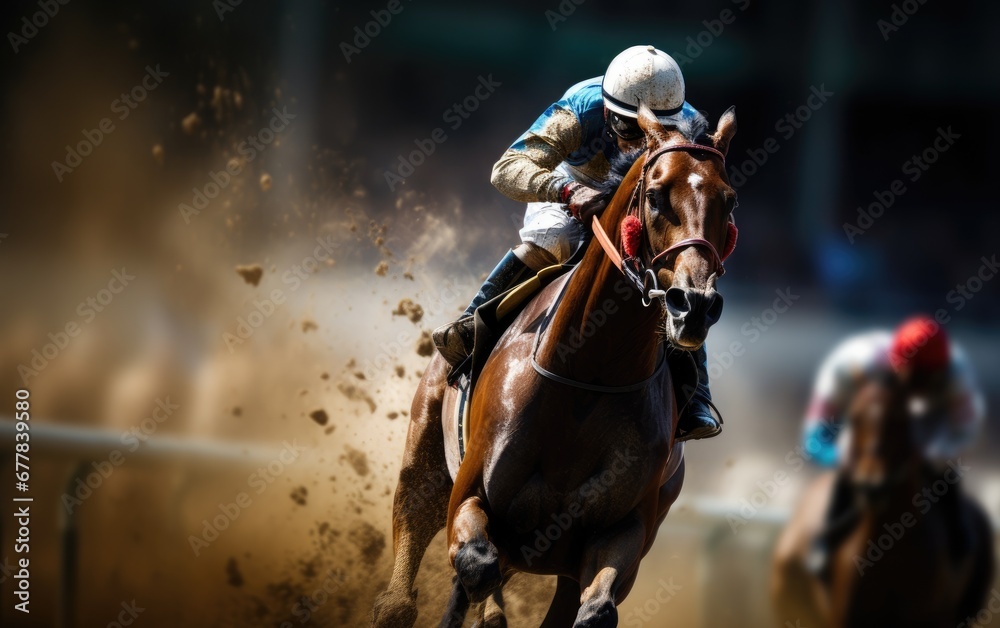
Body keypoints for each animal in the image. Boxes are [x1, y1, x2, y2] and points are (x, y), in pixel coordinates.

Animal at [372, 102, 738, 628]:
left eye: (729, 200)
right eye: (655, 196)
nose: (696, 304)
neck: (587, 375)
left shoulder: (621, 535)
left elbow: (594, 608)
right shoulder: (471, 496)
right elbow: (477, 566)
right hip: (423, 456)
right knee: (409, 557)